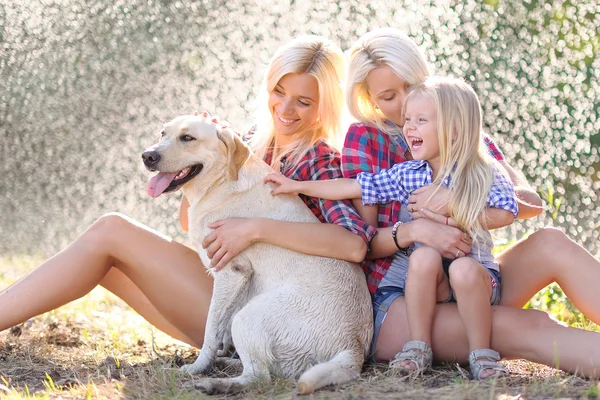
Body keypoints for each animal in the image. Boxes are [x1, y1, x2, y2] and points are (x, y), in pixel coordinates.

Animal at [142, 114, 372, 396]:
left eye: (188, 138)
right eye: (163, 133)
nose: (147, 156)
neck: (221, 182)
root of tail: (354, 345)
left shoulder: (230, 271)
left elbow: (211, 327)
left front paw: (199, 366)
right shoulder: (242, 280)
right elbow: (221, 326)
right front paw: (218, 356)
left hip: (249, 317)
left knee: (258, 377)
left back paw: (215, 383)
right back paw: (226, 364)